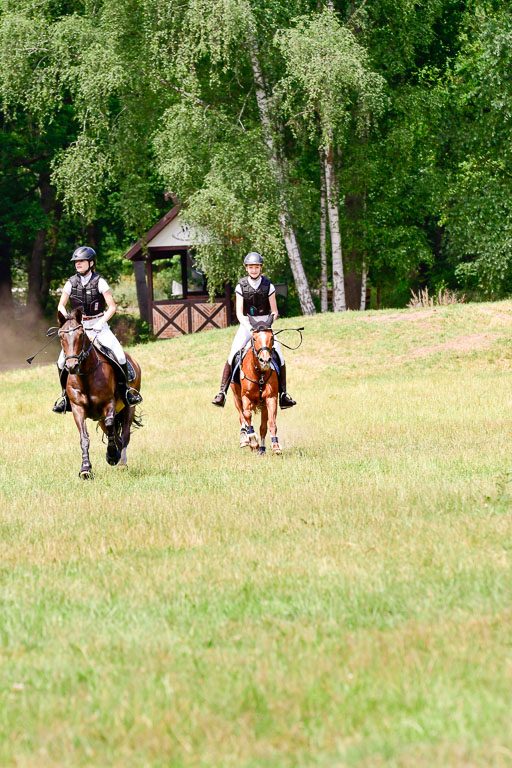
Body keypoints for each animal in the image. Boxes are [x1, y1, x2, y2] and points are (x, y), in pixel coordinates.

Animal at [56, 308, 142, 476]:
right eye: (61, 336)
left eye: (81, 335)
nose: (72, 366)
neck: (85, 375)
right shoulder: (77, 408)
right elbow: (84, 437)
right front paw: (85, 469)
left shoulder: (109, 404)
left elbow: (111, 427)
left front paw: (112, 455)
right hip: (101, 417)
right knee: (114, 434)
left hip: (129, 408)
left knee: (124, 434)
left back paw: (121, 462)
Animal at [231, 320, 282, 456]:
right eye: (254, 338)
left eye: (272, 337)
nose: (265, 360)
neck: (260, 374)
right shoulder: (245, 396)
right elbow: (247, 415)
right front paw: (253, 441)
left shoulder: (270, 398)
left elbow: (271, 422)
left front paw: (275, 446)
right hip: (236, 397)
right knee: (242, 416)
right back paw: (246, 439)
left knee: (263, 427)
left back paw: (262, 449)